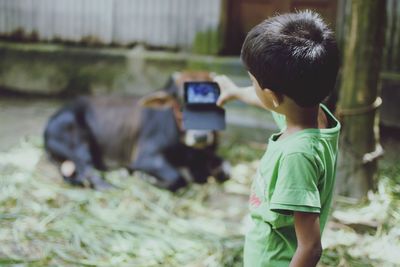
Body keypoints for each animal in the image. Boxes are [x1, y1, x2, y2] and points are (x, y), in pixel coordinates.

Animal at [43, 72, 230, 192]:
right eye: (179, 101)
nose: (201, 136)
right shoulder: (146, 157)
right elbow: (177, 178)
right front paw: (144, 177)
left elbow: (226, 169)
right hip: (79, 145)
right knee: (88, 173)